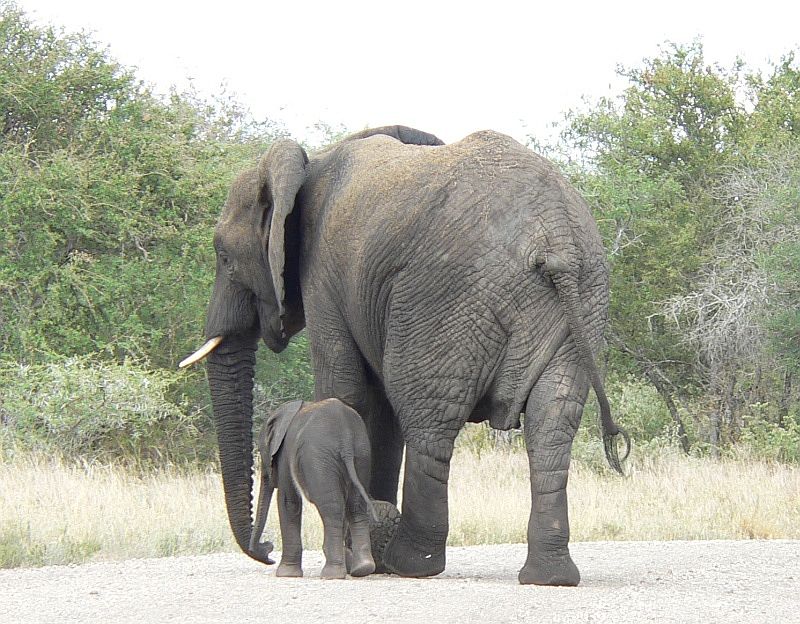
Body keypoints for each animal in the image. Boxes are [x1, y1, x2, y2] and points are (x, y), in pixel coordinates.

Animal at [248, 400, 376, 580]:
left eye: (261, 452)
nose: (268, 548)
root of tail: (346, 438)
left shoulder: (285, 454)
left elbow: (288, 501)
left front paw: (286, 574)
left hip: (319, 460)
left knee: (332, 508)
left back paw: (332, 575)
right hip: (361, 455)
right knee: (355, 506)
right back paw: (363, 568)